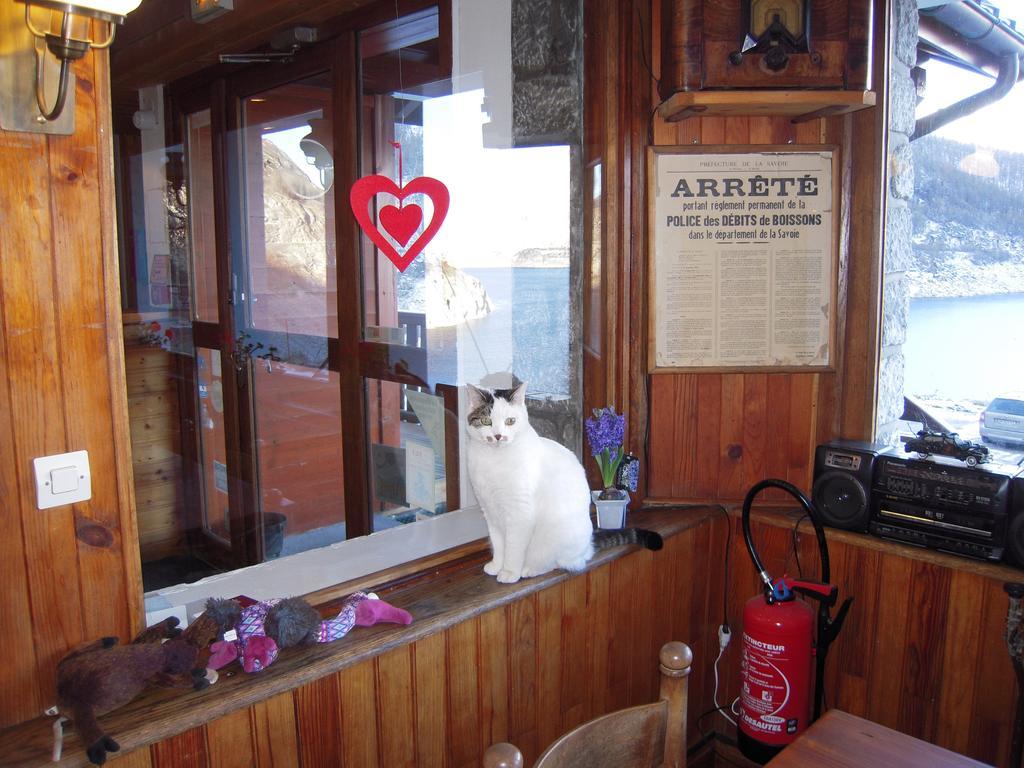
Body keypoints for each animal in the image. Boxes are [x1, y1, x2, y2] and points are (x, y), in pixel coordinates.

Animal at [466, 382, 663, 585]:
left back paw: (531, 569)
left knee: (561, 563)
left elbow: (513, 547)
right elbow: (498, 544)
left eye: (510, 421)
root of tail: (589, 545)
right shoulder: (490, 511)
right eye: (486, 421)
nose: (498, 436)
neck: (493, 459)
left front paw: (509, 572)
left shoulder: (519, 512)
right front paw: (497, 565)